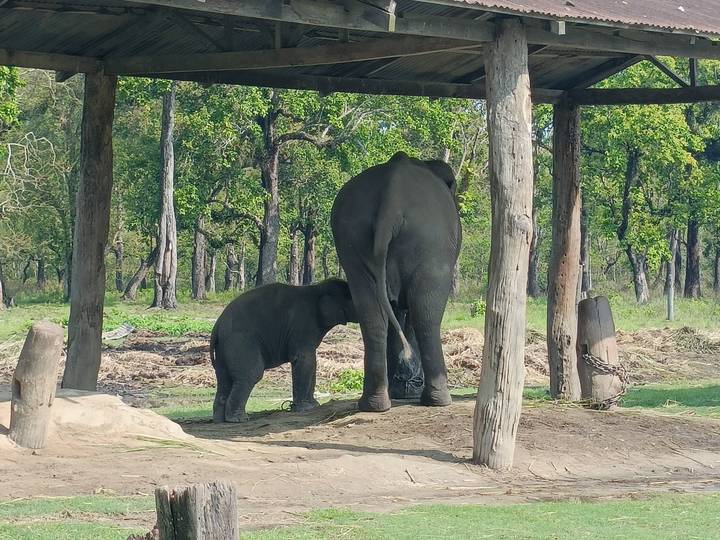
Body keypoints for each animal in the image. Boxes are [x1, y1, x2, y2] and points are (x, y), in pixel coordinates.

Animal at [209, 279, 357, 422]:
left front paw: (313, 405)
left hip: (223, 348)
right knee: (251, 374)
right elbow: (304, 359)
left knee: (224, 378)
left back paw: (220, 420)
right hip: (240, 342)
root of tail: (217, 326)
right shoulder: (303, 324)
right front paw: (306, 409)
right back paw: (238, 419)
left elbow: (311, 362)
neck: (317, 288)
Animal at [331, 151, 461, 412]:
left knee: (372, 314)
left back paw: (374, 404)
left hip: (353, 241)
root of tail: (391, 199)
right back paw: (438, 400)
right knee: (426, 313)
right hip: (430, 245)